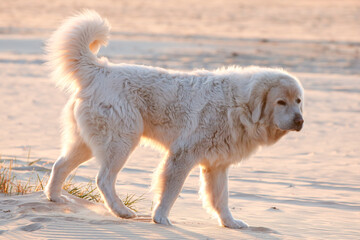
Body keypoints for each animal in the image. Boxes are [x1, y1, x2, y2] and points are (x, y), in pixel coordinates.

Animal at [44, 10, 304, 229]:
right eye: (281, 102)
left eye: (299, 101)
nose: (300, 121)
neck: (238, 106)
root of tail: (100, 69)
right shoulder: (182, 154)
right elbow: (171, 190)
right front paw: (161, 218)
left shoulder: (217, 165)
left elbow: (221, 198)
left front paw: (230, 223)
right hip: (122, 141)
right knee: (104, 178)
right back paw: (121, 211)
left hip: (88, 142)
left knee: (60, 165)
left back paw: (55, 197)